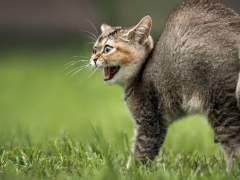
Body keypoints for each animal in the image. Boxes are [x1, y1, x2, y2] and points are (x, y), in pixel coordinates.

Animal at [89, 0, 240, 170]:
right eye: (94, 49)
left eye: (107, 49)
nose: (93, 58)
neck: (140, 73)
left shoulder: (150, 122)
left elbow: (141, 152)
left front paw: (129, 171)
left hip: (221, 104)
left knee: (234, 146)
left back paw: (230, 171)